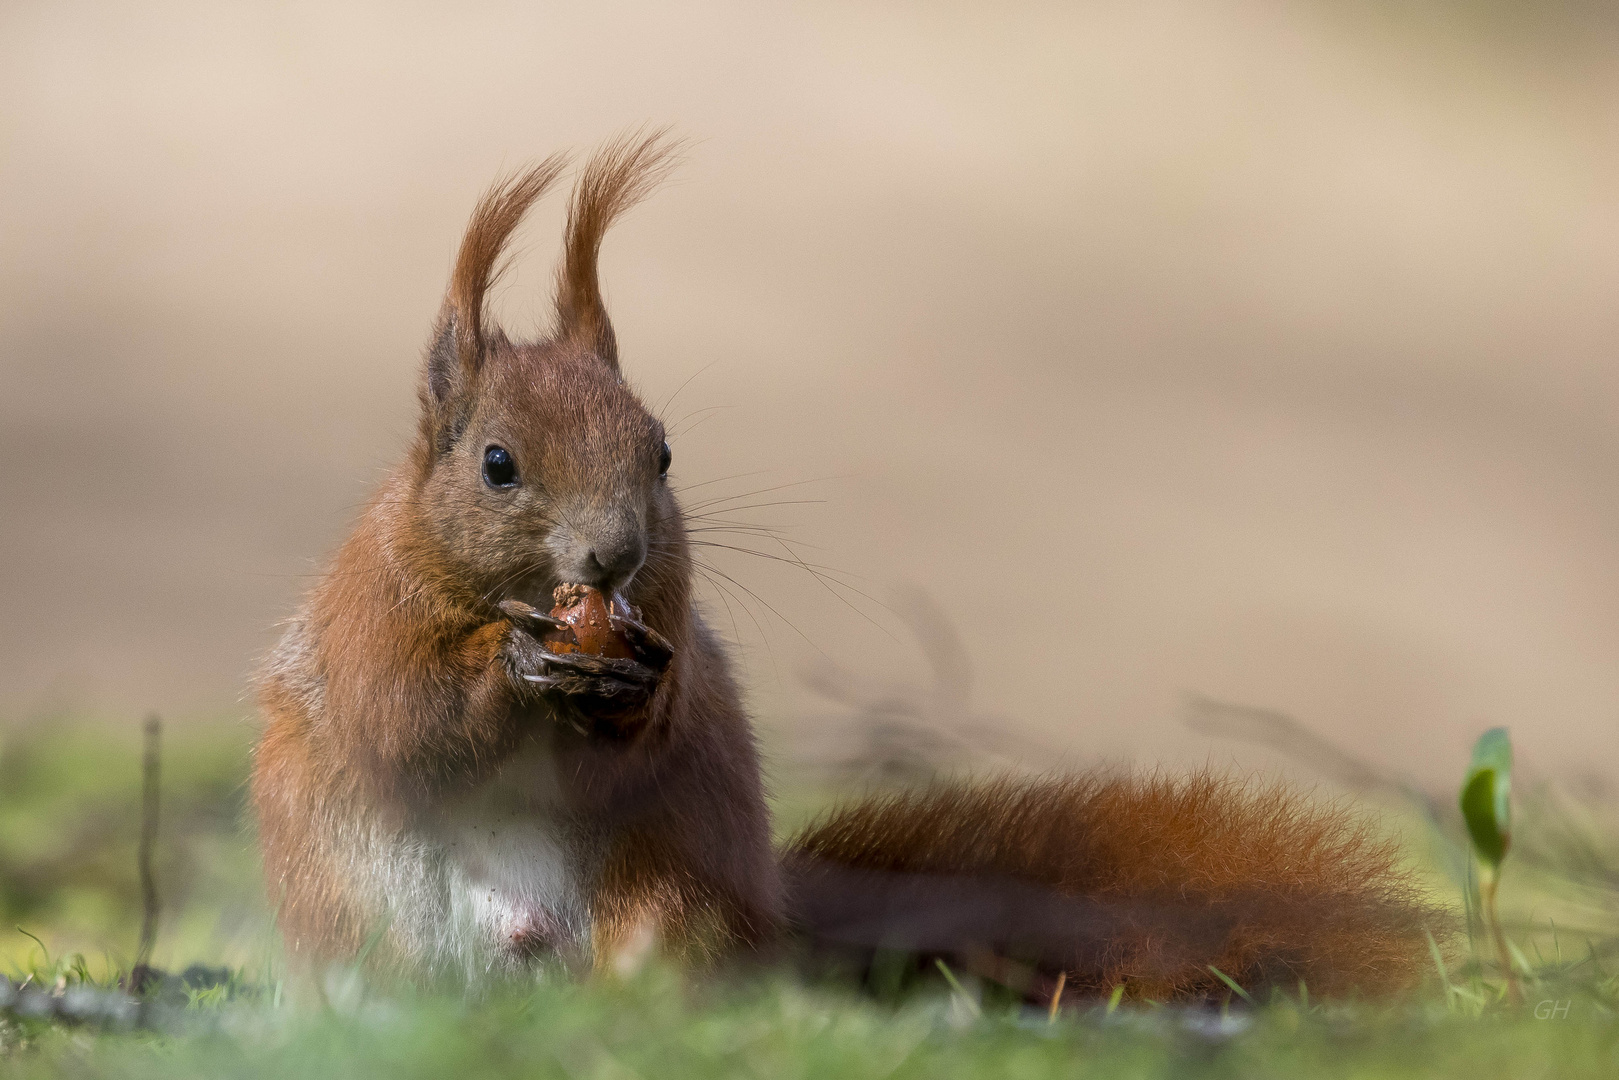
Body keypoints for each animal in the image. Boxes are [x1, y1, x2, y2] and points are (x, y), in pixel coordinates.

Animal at [252, 131, 1444, 1003]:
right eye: (496, 464)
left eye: (661, 453)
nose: (615, 552)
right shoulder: (371, 611)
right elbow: (401, 718)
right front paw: (511, 665)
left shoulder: (666, 613)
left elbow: (626, 749)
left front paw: (625, 687)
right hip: (352, 902)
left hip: (668, 879)